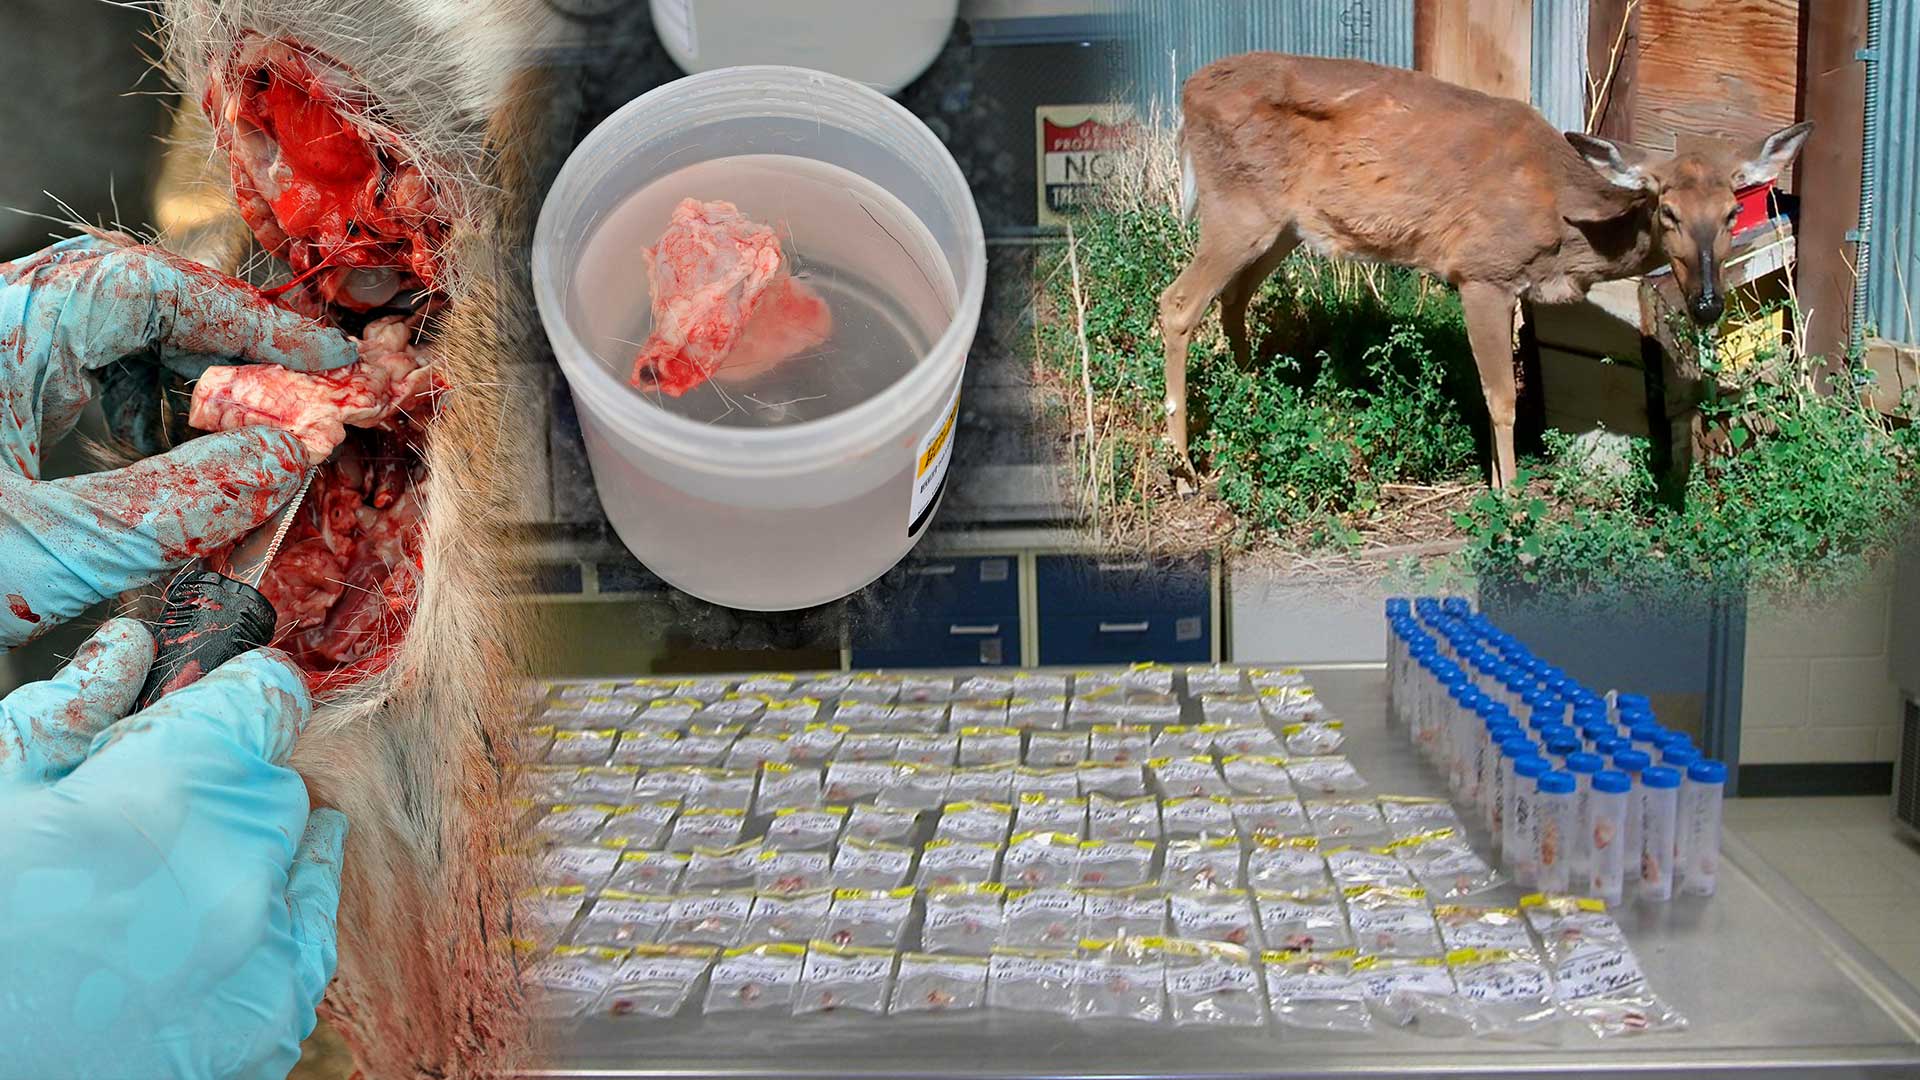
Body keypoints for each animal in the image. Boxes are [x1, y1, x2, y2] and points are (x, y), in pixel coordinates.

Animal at [1158, 52, 1812, 489]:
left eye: (1732, 212)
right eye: (1668, 210)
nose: (1707, 303)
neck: (1564, 224)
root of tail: (1186, 93)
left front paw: (1500, 484)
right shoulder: (1480, 273)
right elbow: (1501, 398)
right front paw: (1512, 500)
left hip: (1283, 226)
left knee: (1233, 300)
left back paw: (1256, 400)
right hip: (1237, 208)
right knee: (1177, 303)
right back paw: (1186, 466)